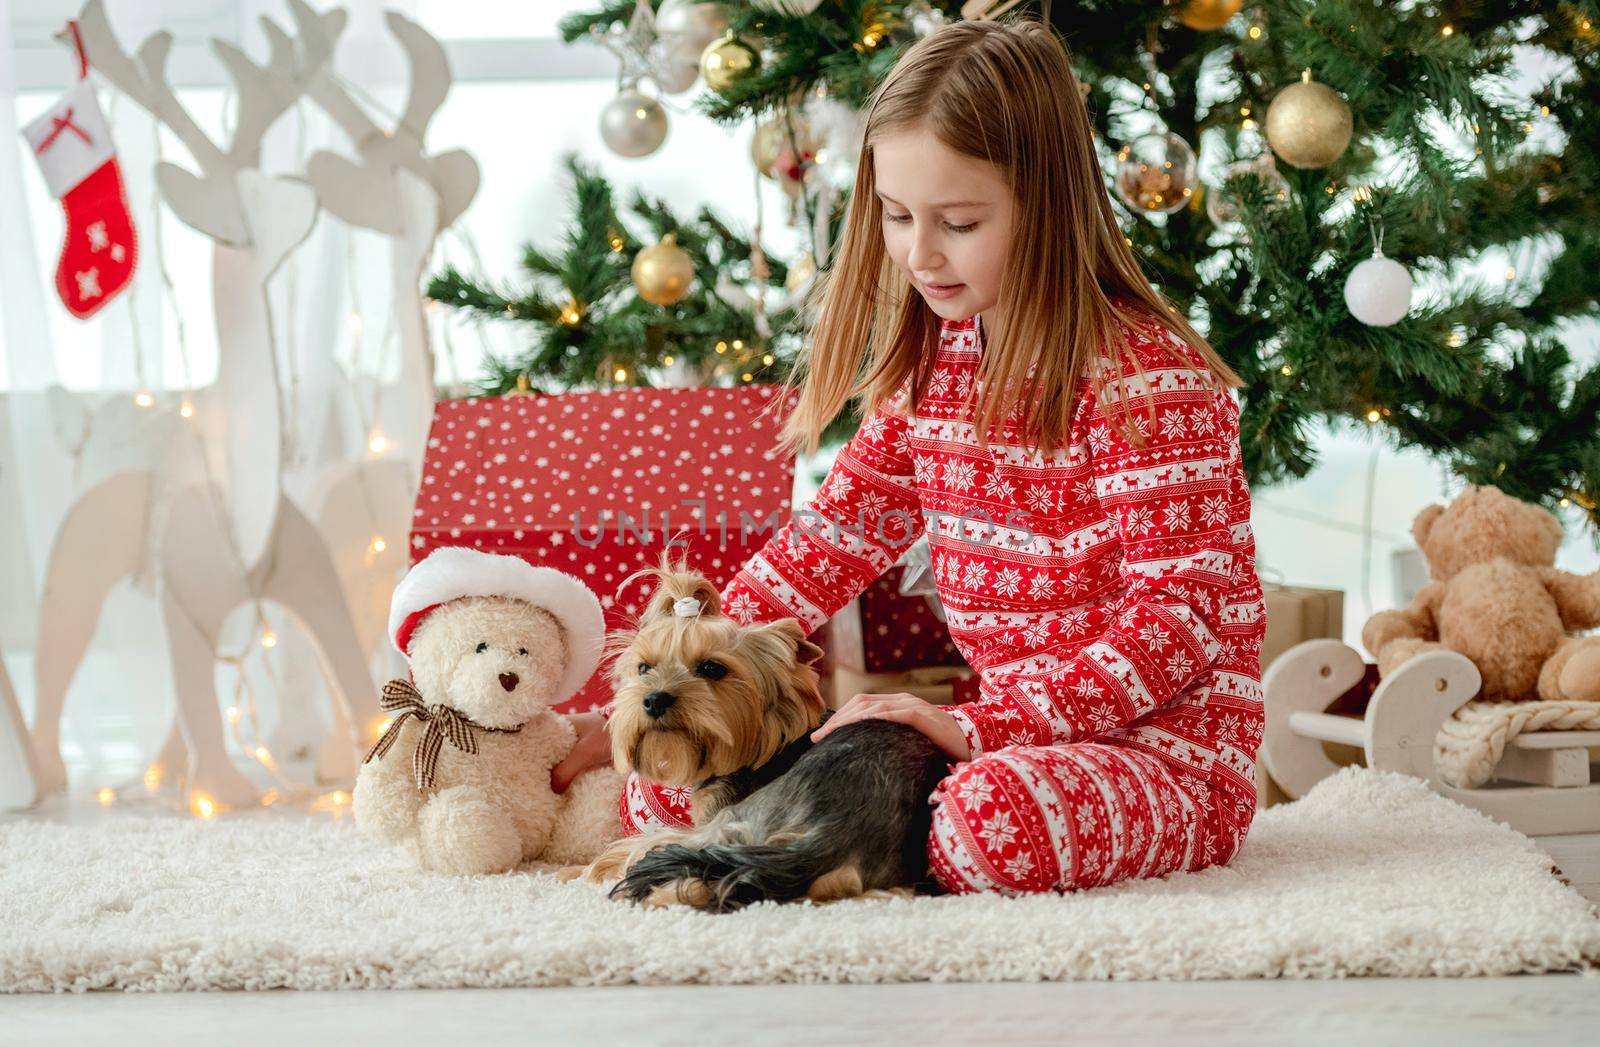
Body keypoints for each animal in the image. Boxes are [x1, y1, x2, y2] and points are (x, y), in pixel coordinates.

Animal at [560, 553, 947, 915]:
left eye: (711, 668)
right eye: (644, 668)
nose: (654, 700)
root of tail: (828, 836)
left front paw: (572, 870)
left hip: (727, 826)